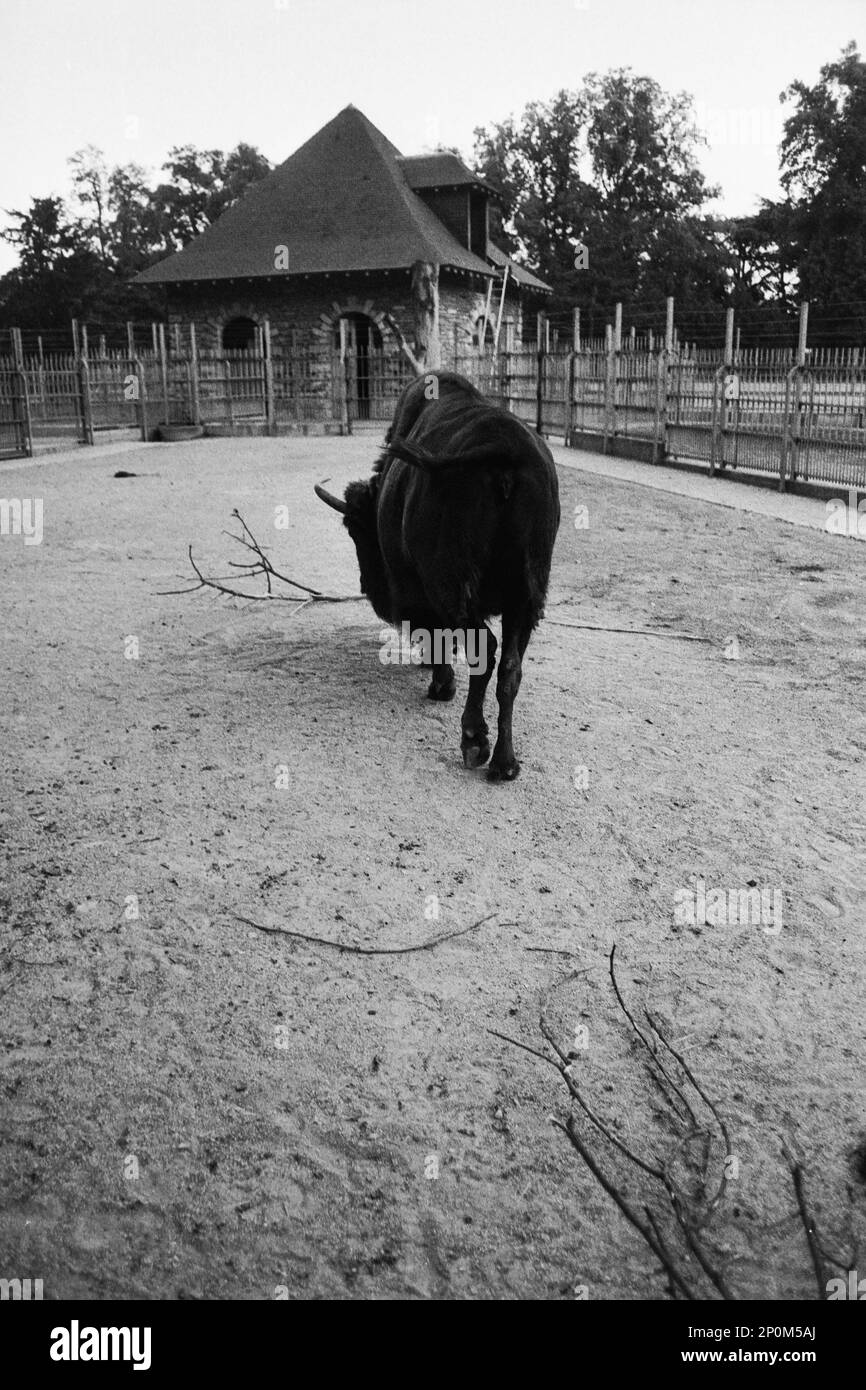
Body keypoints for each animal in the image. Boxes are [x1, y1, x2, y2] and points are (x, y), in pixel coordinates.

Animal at [315, 369, 558, 783]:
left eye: (356, 529)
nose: (370, 589)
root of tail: (503, 449)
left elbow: (438, 633)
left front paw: (440, 684)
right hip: (527, 598)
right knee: (509, 667)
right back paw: (505, 763)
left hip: (456, 587)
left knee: (485, 649)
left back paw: (474, 741)